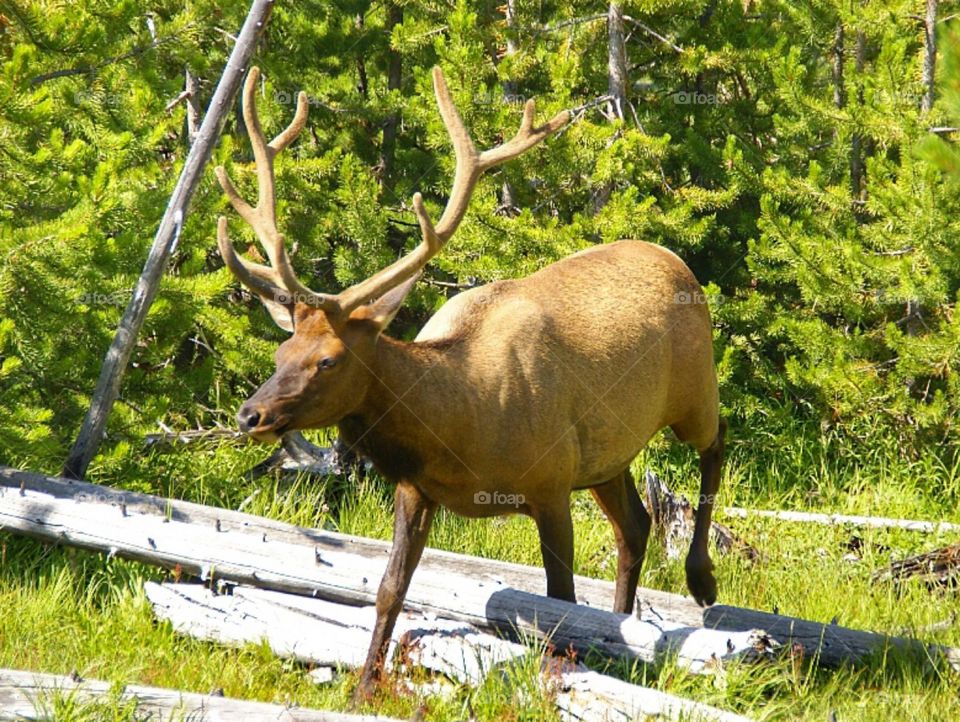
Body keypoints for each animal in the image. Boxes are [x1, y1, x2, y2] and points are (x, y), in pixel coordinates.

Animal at [214, 66, 725, 698]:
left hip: (693, 390)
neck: (459, 429)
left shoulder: (550, 483)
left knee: (714, 447)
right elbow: (390, 589)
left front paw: (554, 682)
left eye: (328, 360)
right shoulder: (416, 489)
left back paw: (700, 577)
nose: (250, 415)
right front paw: (365, 686)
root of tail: (676, 260)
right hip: (608, 454)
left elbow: (559, 600)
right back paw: (621, 625)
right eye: (283, 348)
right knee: (636, 525)